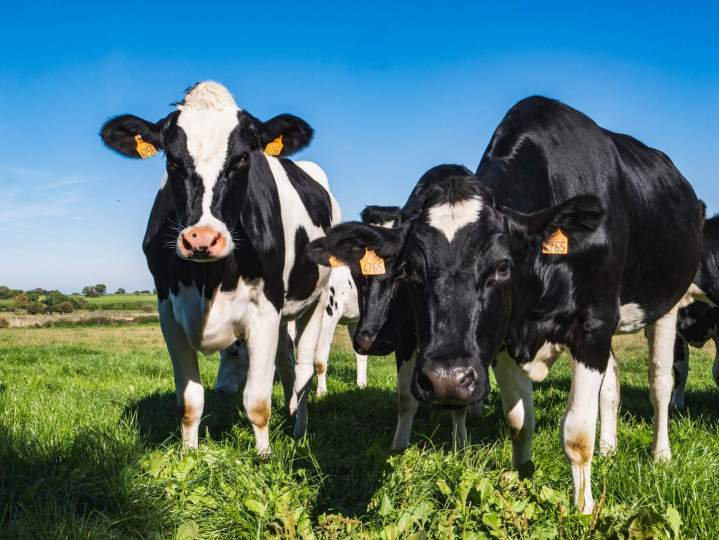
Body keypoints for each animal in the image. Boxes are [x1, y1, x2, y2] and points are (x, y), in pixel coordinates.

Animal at [100, 81, 340, 455]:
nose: (202, 238)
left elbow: (257, 401)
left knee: (302, 368)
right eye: (172, 160)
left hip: (316, 300)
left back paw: (299, 431)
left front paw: (264, 456)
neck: (209, 280)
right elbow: (190, 402)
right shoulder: (169, 312)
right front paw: (189, 454)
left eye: (243, 158)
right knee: (286, 363)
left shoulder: (265, 310)